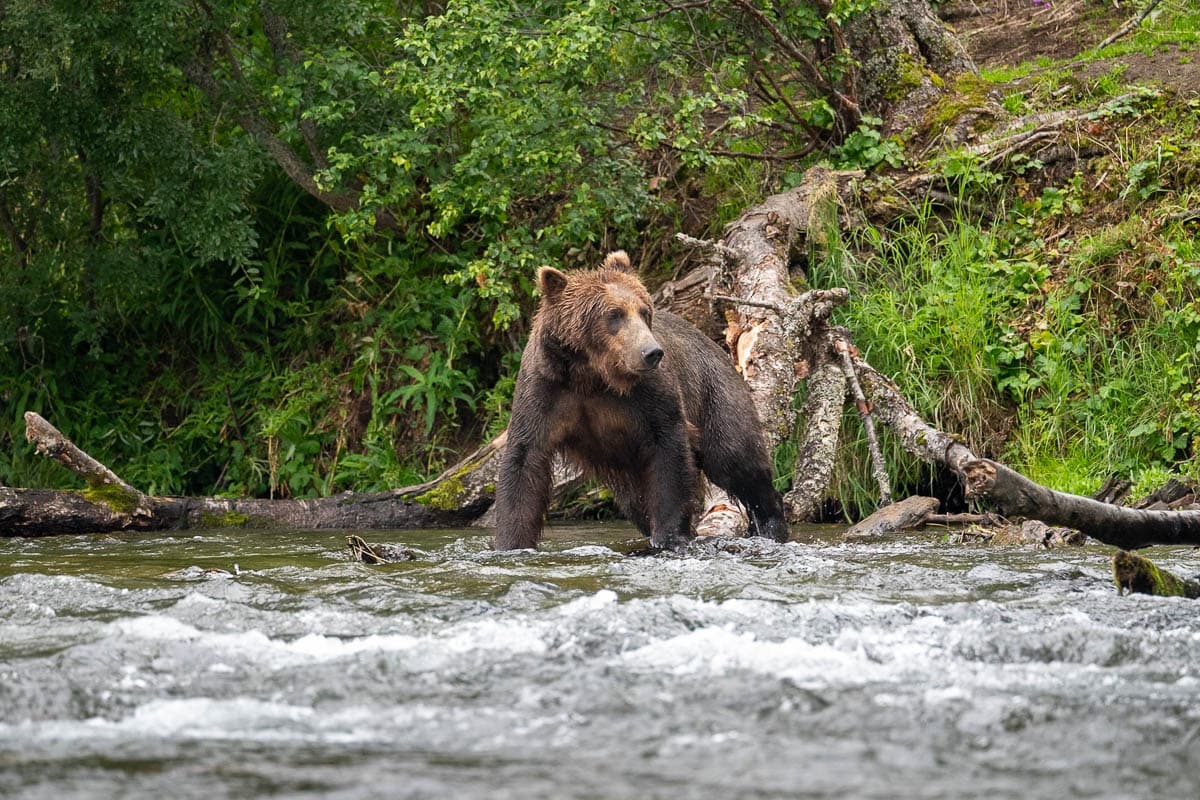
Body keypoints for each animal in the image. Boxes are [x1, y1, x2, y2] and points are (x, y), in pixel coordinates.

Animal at [492, 250, 789, 551]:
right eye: (614, 314)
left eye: (644, 311)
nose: (651, 352)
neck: (593, 375)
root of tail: (714, 343)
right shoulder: (547, 391)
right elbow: (525, 460)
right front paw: (511, 541)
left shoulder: (651, 395)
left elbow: (669, 452)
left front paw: (669, 536)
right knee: (636, 502)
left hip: (715, 392)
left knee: (736, 458)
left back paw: (769, 524)